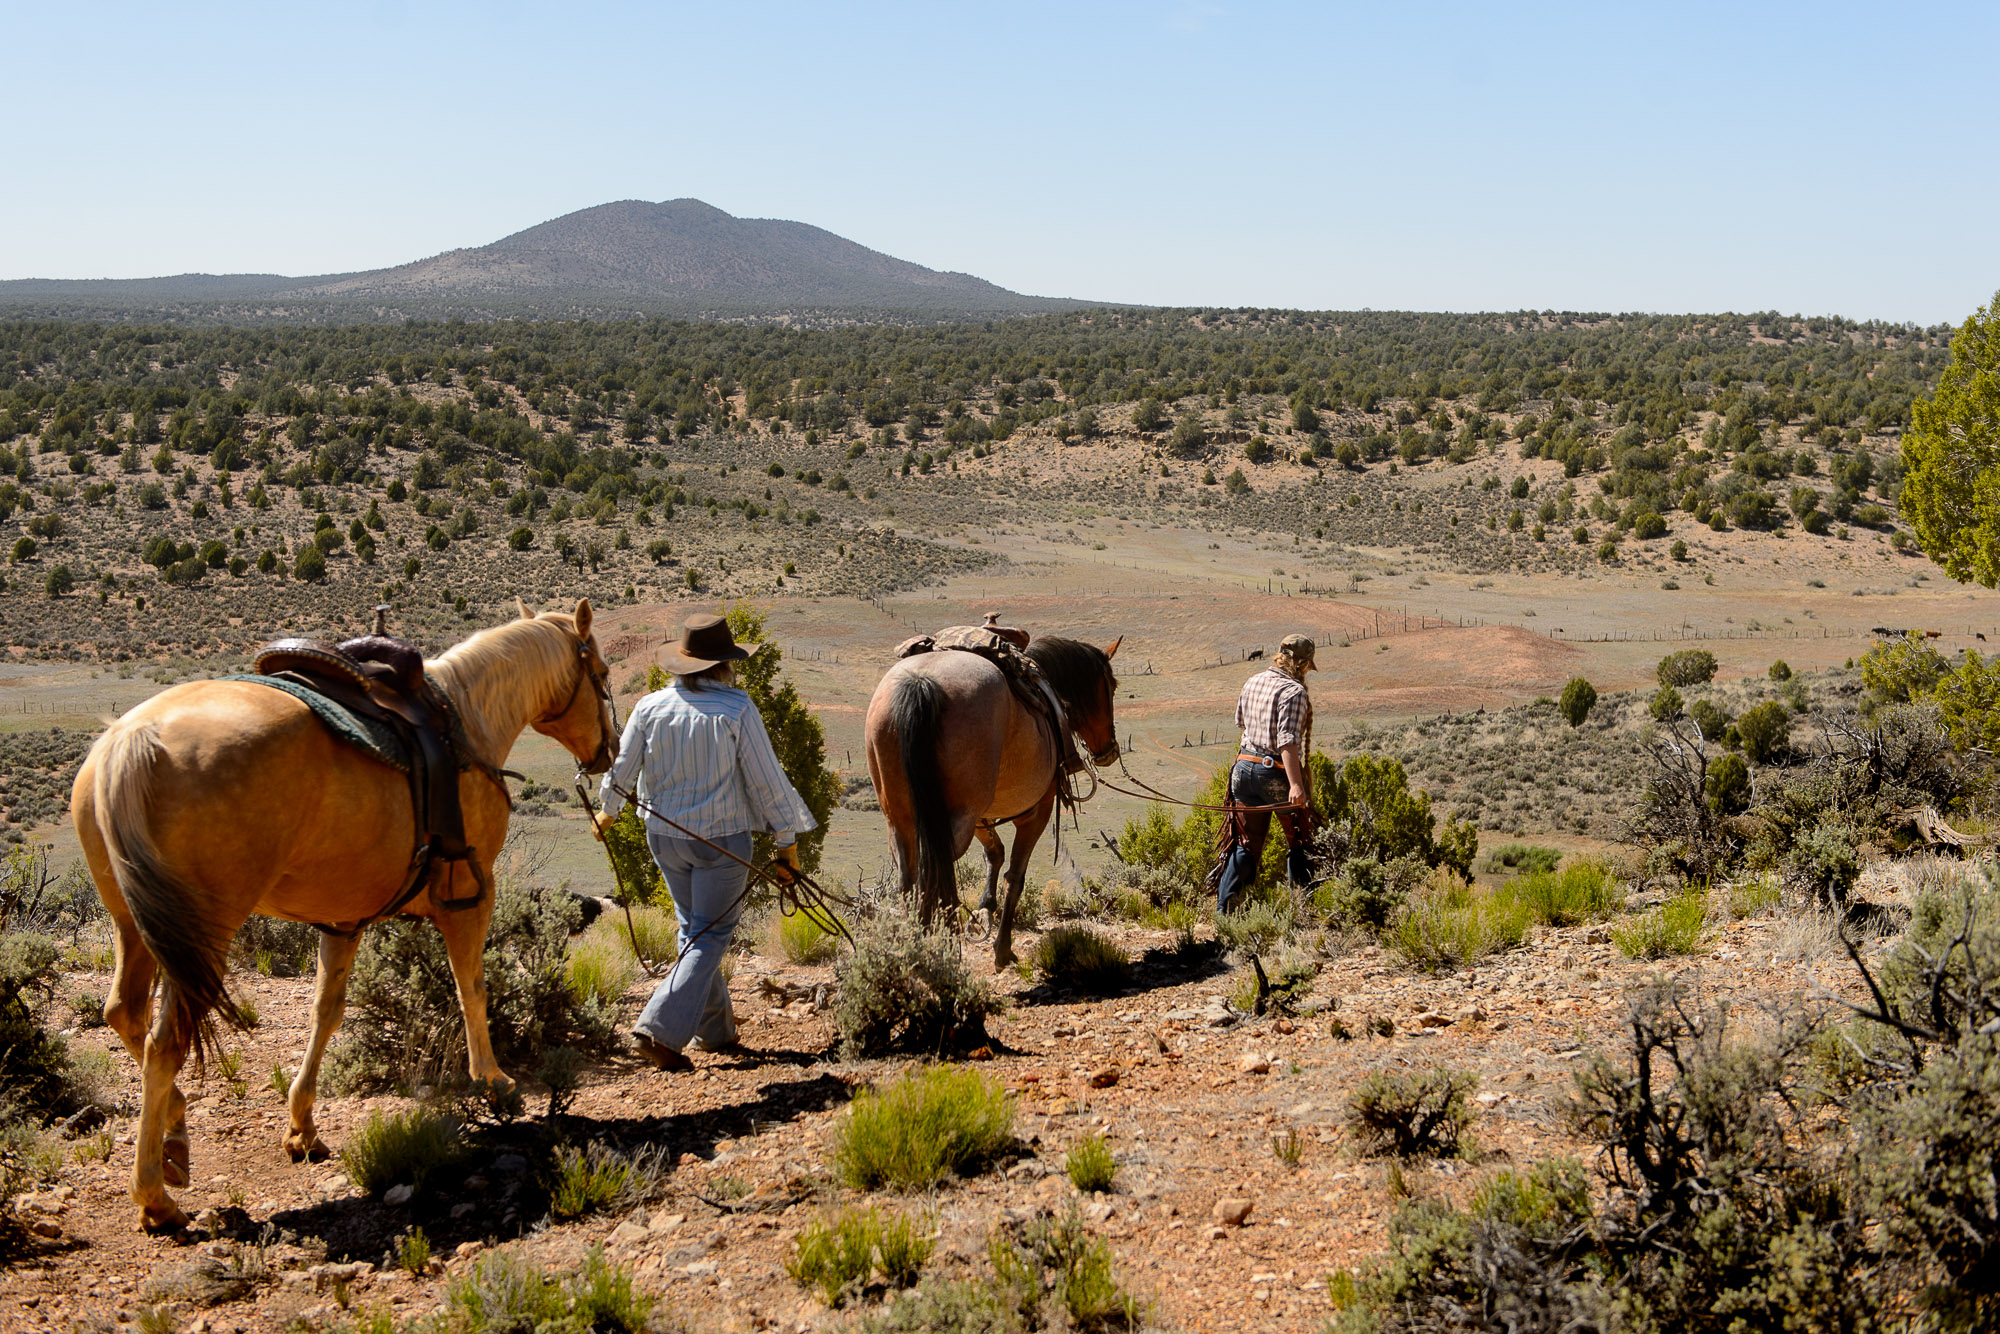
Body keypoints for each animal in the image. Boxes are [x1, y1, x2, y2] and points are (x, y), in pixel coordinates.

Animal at [70, 604, 612, 1232]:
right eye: (600, 672)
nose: (607, 753)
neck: (467, 717)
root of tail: (132, 740)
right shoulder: (471, 895)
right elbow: (471, 988)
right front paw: (494, 1083)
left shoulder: (343, 921)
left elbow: (325, 1013)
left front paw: (302, 1126)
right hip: (202, 936)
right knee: (163, 1045)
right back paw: (155, 1196)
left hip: (133, 925)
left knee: (121, 1013)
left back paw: (175, 1140)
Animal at [864, 640, 1128, 972]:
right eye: (1112, 686)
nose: (1110, 750)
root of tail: (920, 682)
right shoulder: (1036, 811)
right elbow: (1015, 876)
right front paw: (1003, 950)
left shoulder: (981, 816)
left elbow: (995, 853)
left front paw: (986, 908)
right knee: (934, 872)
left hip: (900, 817)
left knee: (908, 876)